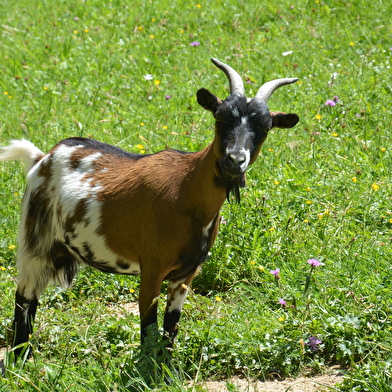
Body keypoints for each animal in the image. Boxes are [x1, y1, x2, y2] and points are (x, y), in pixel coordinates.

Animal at [0, 57, 300, 362]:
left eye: (265, 127)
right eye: (219, 116)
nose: (235, 159)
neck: (186, 189)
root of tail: (43, 157)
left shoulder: (185, 274)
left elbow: (170, 328)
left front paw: (167, 367)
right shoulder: (152, 268)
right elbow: (148, 329)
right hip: (36, 240)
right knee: (24, 298)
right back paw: (20, 358)